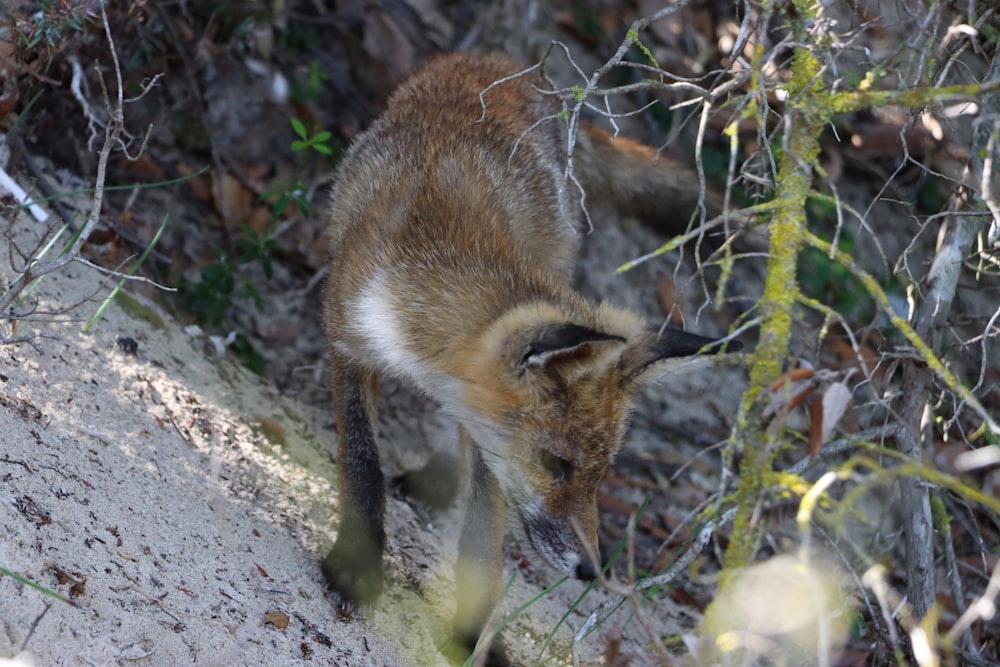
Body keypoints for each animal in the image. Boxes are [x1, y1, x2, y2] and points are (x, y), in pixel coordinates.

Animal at [322, 49, 744, 664]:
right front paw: (355, 566)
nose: (591, 570)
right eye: (556, 463)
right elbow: (361, 464)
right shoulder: (346, 341)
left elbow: (482, 542)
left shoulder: (490, 445)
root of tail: (513, 65)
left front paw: (475, 636)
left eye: (601, 474)